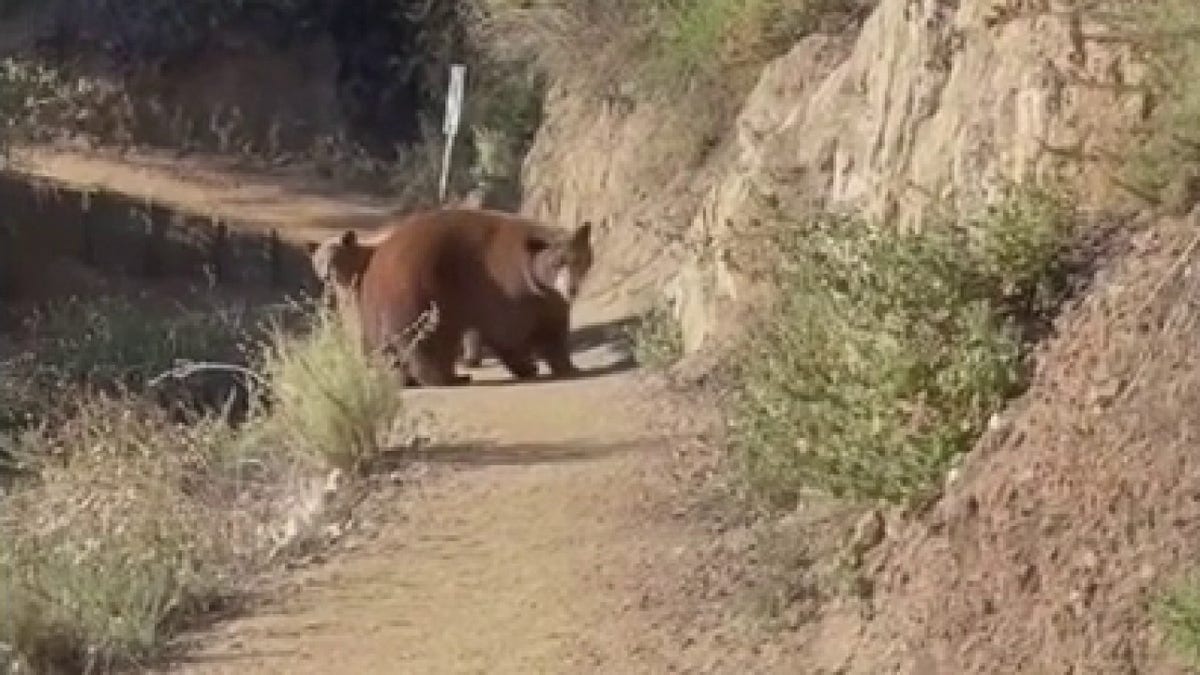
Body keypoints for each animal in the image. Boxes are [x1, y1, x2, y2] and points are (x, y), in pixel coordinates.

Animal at [357, 205, 597, 386]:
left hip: (374, 315)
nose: (572, 289)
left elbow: (553, 328)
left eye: (578, 260)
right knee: (430, 340)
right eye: (556, 263)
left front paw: (569, 366)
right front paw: (529, 366)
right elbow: (508, 332)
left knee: (389, 350)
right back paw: (450, 378)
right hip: (421, 295)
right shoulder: (507, 287)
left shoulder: (547, 299)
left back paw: (403, 379)